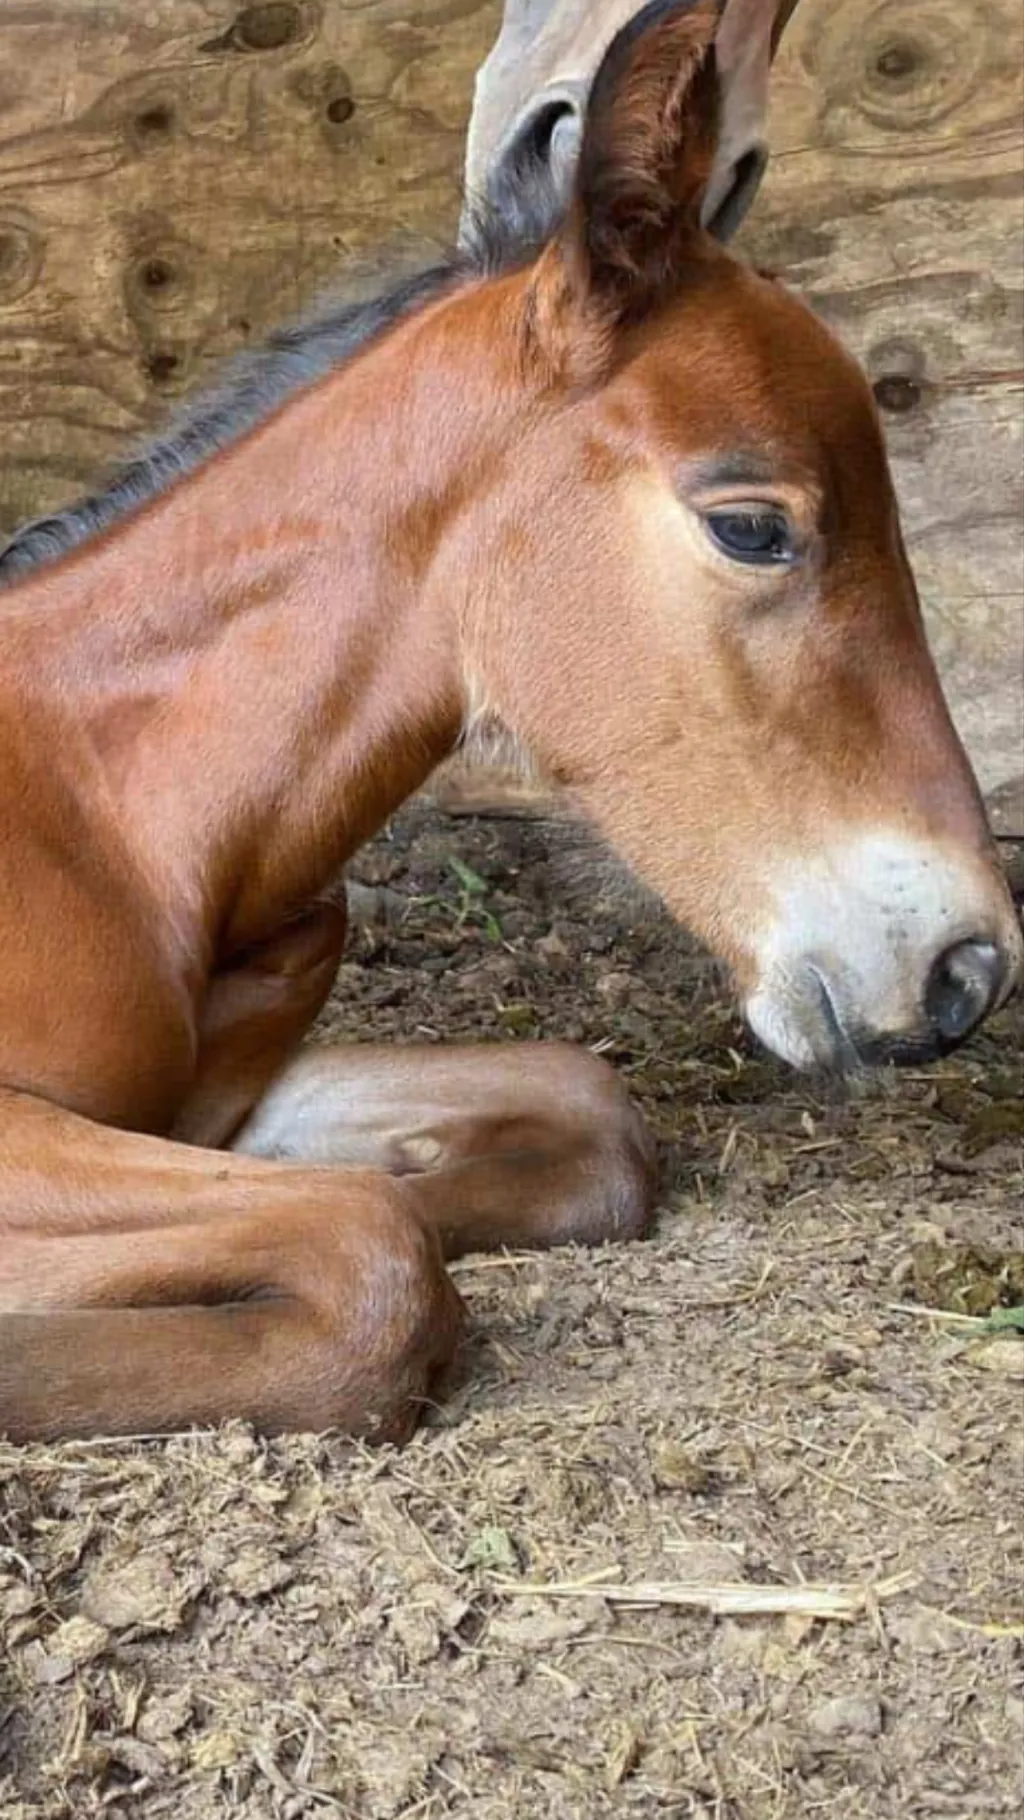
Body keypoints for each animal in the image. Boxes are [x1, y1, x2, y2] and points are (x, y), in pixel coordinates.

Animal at [0, 0, 1018, 1444]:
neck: (109, 814)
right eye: (752, 527)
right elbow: (372, 1254)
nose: (965, 971)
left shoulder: (210, 1113)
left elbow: (575, 1116)